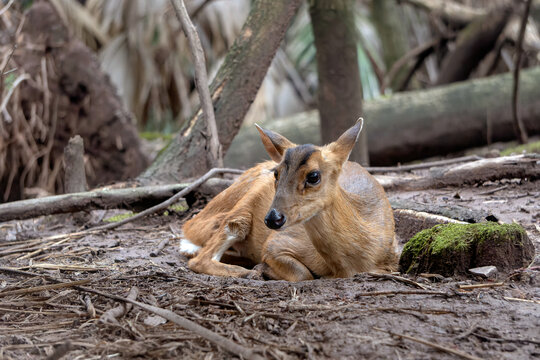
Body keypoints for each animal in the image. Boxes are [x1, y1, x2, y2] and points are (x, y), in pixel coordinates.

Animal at [180, 119, 396, 280]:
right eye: (276, 173)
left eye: (313, 176)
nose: (272, 218)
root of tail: (191, 225)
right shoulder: (276, 243)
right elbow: (303, 275)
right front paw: (264, 269)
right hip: (241, 209)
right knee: (199, 257)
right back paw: (249, 271)